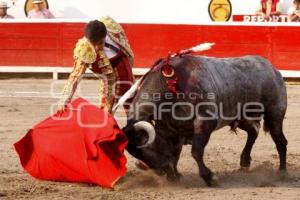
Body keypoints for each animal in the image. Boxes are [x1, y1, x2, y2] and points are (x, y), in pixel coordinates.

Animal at [122, 54, 288, 186]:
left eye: (148, 147)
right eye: (137, 154)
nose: (162, 171)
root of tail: (271, 68)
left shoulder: (204, 123)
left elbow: (196, 152)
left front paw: (210, 178)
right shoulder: (173, 130)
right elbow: (175, 152)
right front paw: (175, 176)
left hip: (274, 113)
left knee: (280, 140)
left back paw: (282, 172)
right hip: (241, 117)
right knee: (253, 131)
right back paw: (245, 162)